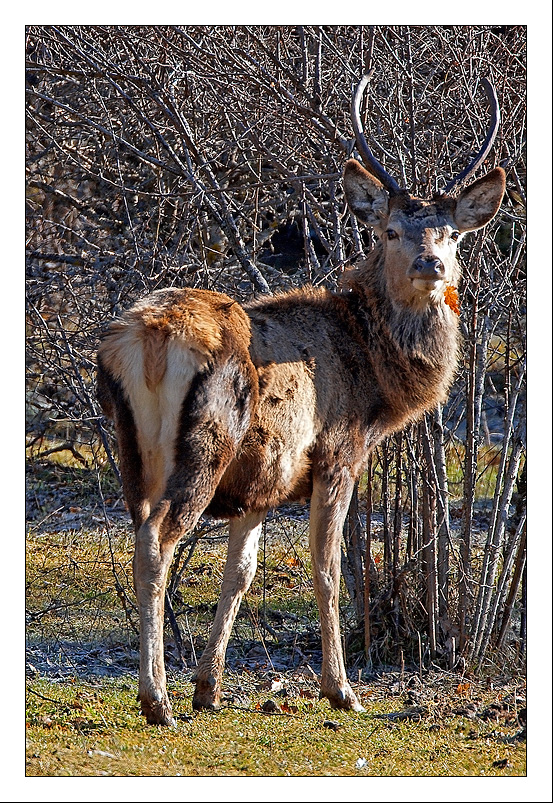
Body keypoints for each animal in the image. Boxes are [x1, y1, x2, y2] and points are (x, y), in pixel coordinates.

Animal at [96, 77, 504, 728]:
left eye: (452, 232)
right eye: (391, 231)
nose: (430, 264)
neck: (375, 378)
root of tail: (149, 339)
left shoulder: (262, 480)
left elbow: (240, 574)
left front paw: (209, 688)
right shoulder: (337, 452)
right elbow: (330, 570)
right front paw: (343, 690)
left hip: (133, 448)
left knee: (139, 530)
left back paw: (166, 690)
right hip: (206, 441)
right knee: (159, 539)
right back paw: (155, 698)